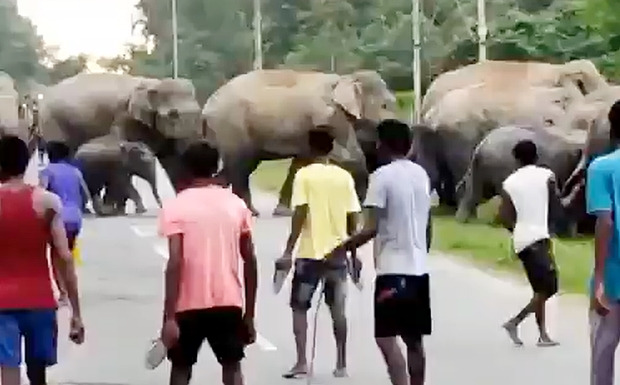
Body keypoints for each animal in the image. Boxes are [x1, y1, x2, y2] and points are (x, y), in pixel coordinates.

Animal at [38, 72, 201, 189]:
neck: (153, 83)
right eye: (173, 115)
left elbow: (172, 159)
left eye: (198, 113)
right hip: (53, 122)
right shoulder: (125, 117)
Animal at [203, 68, 398, 213]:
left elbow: (301, 162)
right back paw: (250, 211)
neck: (345, 78)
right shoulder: (331, 116)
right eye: (385, 105)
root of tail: (207, 106)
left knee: (238, 166)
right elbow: (349, 154)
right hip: (232, 126)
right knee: (239, 165)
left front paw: (283, 211)